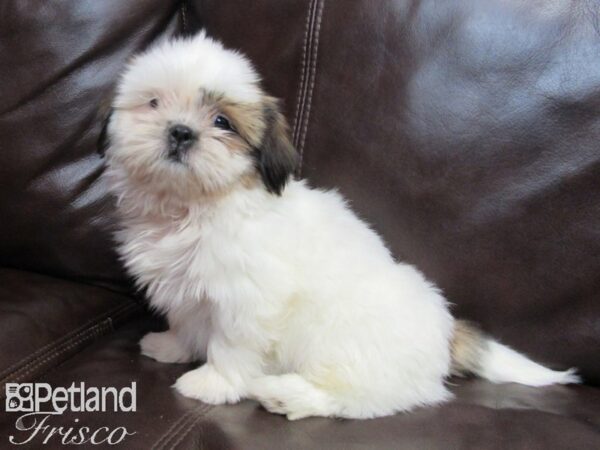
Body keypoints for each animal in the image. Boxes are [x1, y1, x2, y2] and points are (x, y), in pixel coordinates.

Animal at [99, 32, 580, 422]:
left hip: (342, 340)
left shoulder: (246, 298)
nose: (180, 132)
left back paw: (287, 395)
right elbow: (185, 319)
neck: (194, 207)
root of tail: (445, 334)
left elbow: (231, 343)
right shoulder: (185, 288)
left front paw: (213, 382)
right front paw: (171, 345)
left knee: (360, 396)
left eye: (222, 122)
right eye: (154, 102)